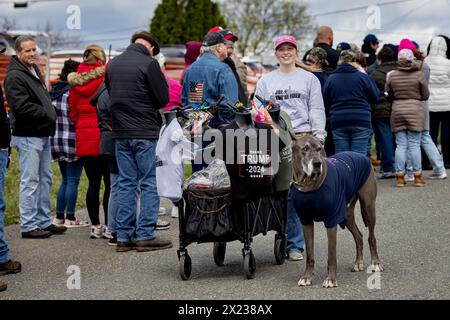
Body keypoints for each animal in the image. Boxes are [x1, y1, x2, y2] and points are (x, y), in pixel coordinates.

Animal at [292, 135, 384, 288]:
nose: (317, 163)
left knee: (371, 237)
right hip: (346, 213)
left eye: (319, 148)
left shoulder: (331, 220)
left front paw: (331, 279)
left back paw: (376, 263)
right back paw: (358, 263)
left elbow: (331, 255)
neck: (308, 186)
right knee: (359, 236)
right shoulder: (306, 221)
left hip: (368, 206)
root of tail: (361, 155)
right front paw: (307, 277)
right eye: (304, 148)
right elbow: (310, 255)